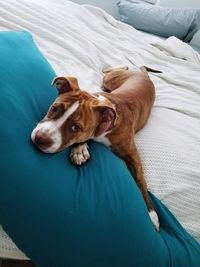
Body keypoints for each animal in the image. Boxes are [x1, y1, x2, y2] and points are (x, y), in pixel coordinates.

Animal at [30, 66, 159, 231]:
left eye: (76, 127)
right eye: (53, 108)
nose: (41, 139)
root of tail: (143, 74)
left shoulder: (132, 155)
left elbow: (140, 180)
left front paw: (152, 214)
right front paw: (80, 150)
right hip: (111, 79)